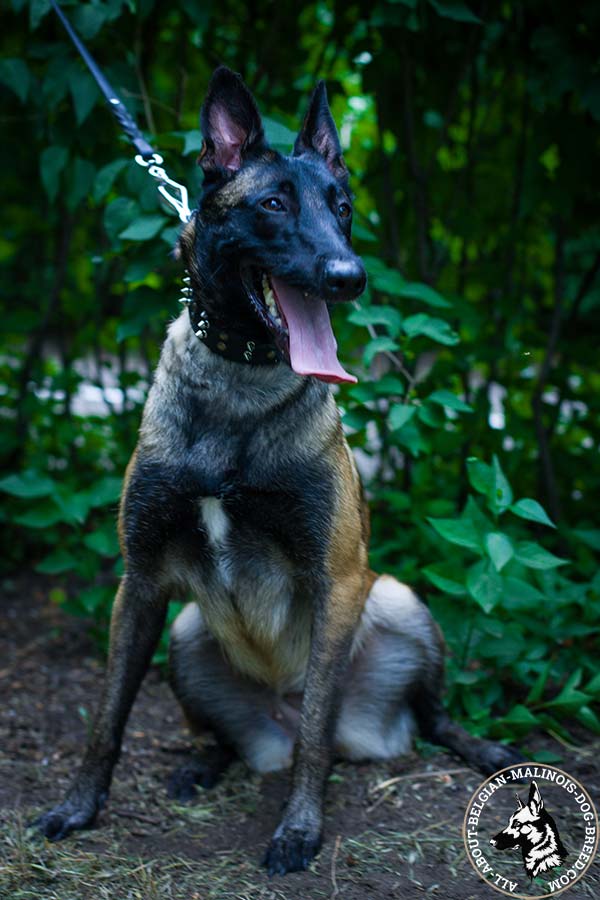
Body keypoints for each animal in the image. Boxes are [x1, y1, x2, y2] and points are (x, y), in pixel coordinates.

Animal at [35, 67, 520, 876]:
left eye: (343, 209)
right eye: (273, 205)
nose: (349, 277)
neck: (240, 381)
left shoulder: (337, 580)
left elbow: (317, 735)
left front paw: (298, 830)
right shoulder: (140, 582)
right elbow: (107, 718)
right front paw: (76, 809)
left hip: (397, 599)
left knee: (416, 719)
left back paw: (479, 749)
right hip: (187, 631)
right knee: (225, 738)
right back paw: (203, 764)